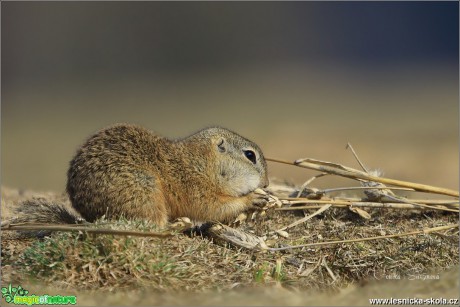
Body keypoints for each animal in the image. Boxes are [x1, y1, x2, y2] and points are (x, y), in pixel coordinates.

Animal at [62, 124, 268, 227]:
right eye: (250, 155)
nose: (266, 184)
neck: (201, 163)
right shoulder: (197, 189)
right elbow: (214, 208)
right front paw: (253, 199)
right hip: (145, 195)